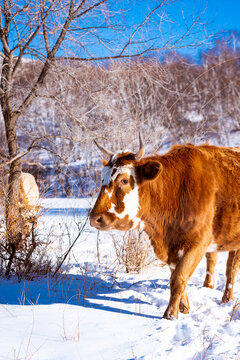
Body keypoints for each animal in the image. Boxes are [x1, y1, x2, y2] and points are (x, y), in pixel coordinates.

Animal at [90, 136, 240, 320]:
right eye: (101, 180)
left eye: (124, 180)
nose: (95, 218)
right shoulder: (172, 247)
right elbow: (176, 275)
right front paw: (184, 307)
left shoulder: (197, 243)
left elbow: (178, 279)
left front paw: (170, 315)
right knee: (215, 260)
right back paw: (209, 287)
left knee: (232, 268)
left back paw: (227, 298)